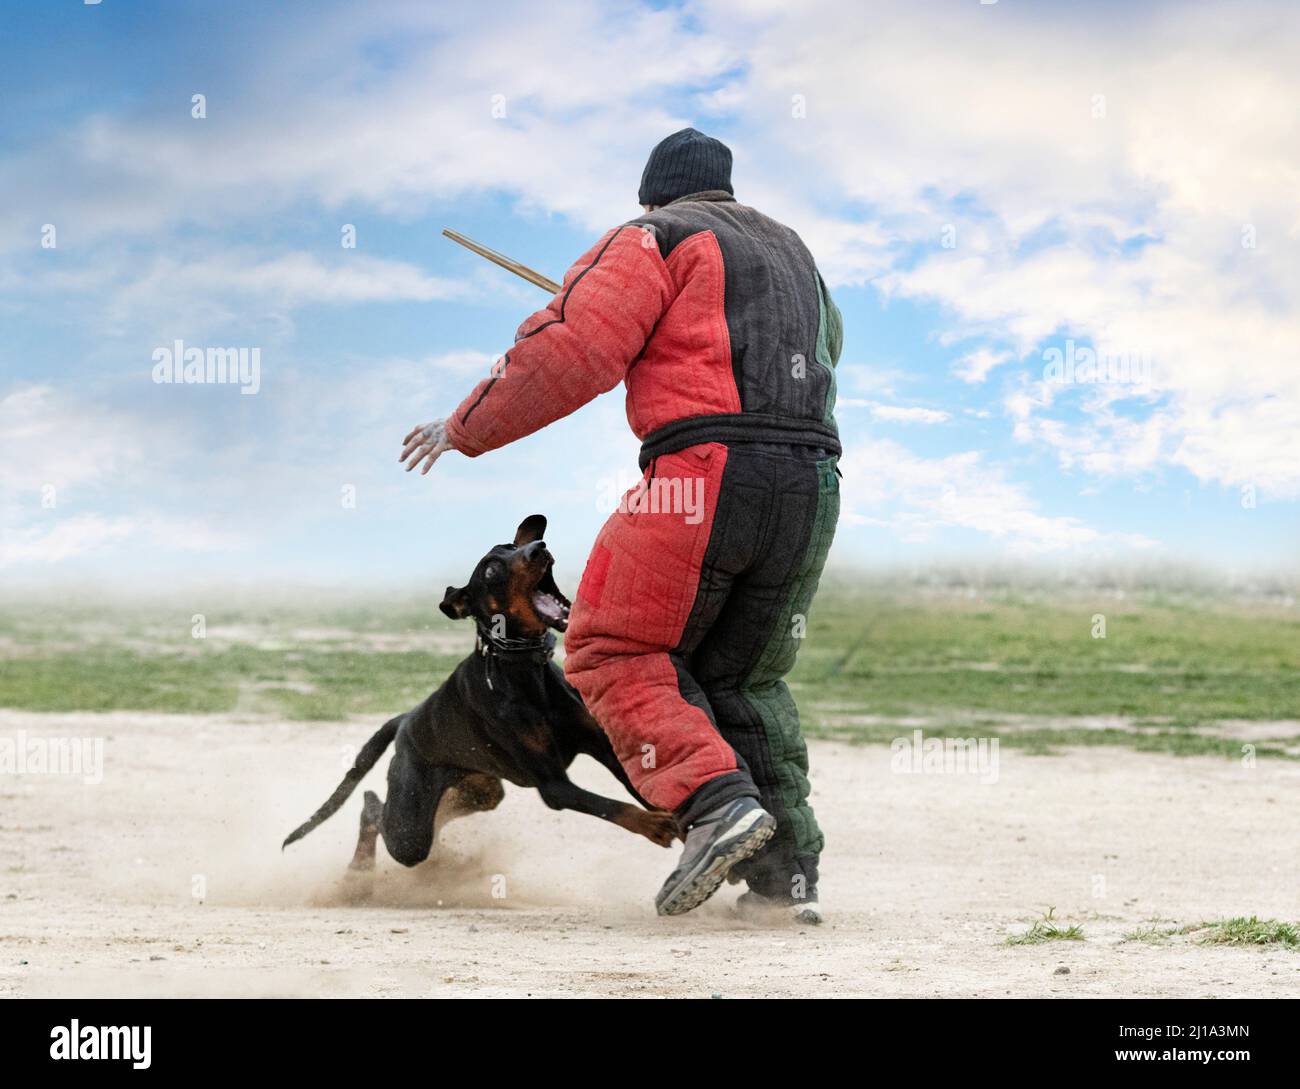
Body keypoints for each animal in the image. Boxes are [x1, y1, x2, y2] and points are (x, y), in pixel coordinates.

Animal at [283, 517, 681, 873]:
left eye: (514, 546)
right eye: (491, 570)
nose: (540, 547)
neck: (523, 669)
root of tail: (407, 718)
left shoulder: (600, 744)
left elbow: (640, 787)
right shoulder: (553, 785)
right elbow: (607, 804)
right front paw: (654, 824)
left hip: (481, 790)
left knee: (435, 814)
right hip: (410, 826)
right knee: (375, 813)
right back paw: (360, 868)